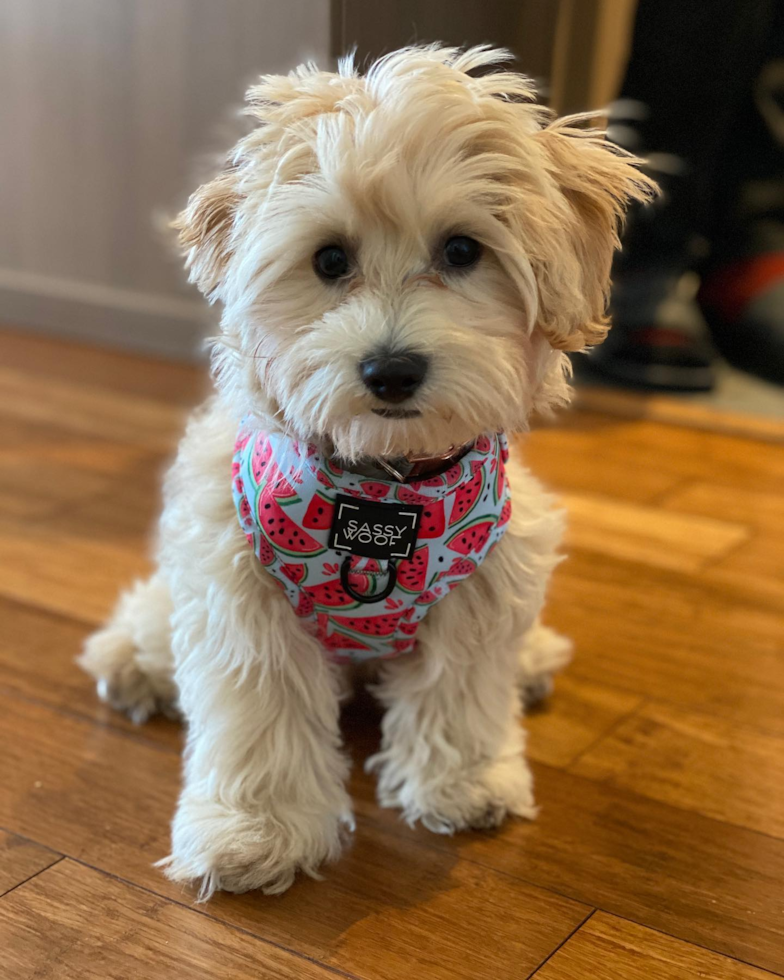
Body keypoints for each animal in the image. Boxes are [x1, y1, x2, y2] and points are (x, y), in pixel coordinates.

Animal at [79, 49, 656, 900]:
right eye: (329, 260)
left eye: (461, 250)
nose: (391, 369)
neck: (383, 488)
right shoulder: (240, 586)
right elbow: (261, 712)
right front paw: (257, 831)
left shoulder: (484, 580)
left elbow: (461, 690)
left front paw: (463, 782)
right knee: (155, 621)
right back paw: (134, 662)